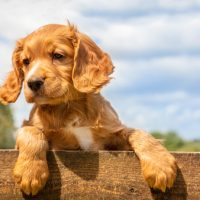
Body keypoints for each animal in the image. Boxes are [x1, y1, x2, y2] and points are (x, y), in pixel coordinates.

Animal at [0, 23, 177, 195]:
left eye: (58, 55)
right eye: (26, 61)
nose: (33, 82)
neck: (71, 107)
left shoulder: (111, 134)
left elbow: (138, 132)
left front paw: (160, 165)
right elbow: (30, 131)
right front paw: (30, 172)